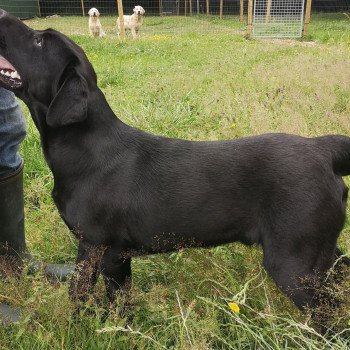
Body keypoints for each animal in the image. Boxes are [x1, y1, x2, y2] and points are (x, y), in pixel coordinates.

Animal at [0, 11, 350, 314]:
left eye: (39, 42)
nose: (2, 14)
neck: (87, 149)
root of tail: (322, 149)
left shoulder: (97, 246)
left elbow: (81, 294)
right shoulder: (118, 256)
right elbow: (120, 302)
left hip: (295, 262)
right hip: (322, 253)